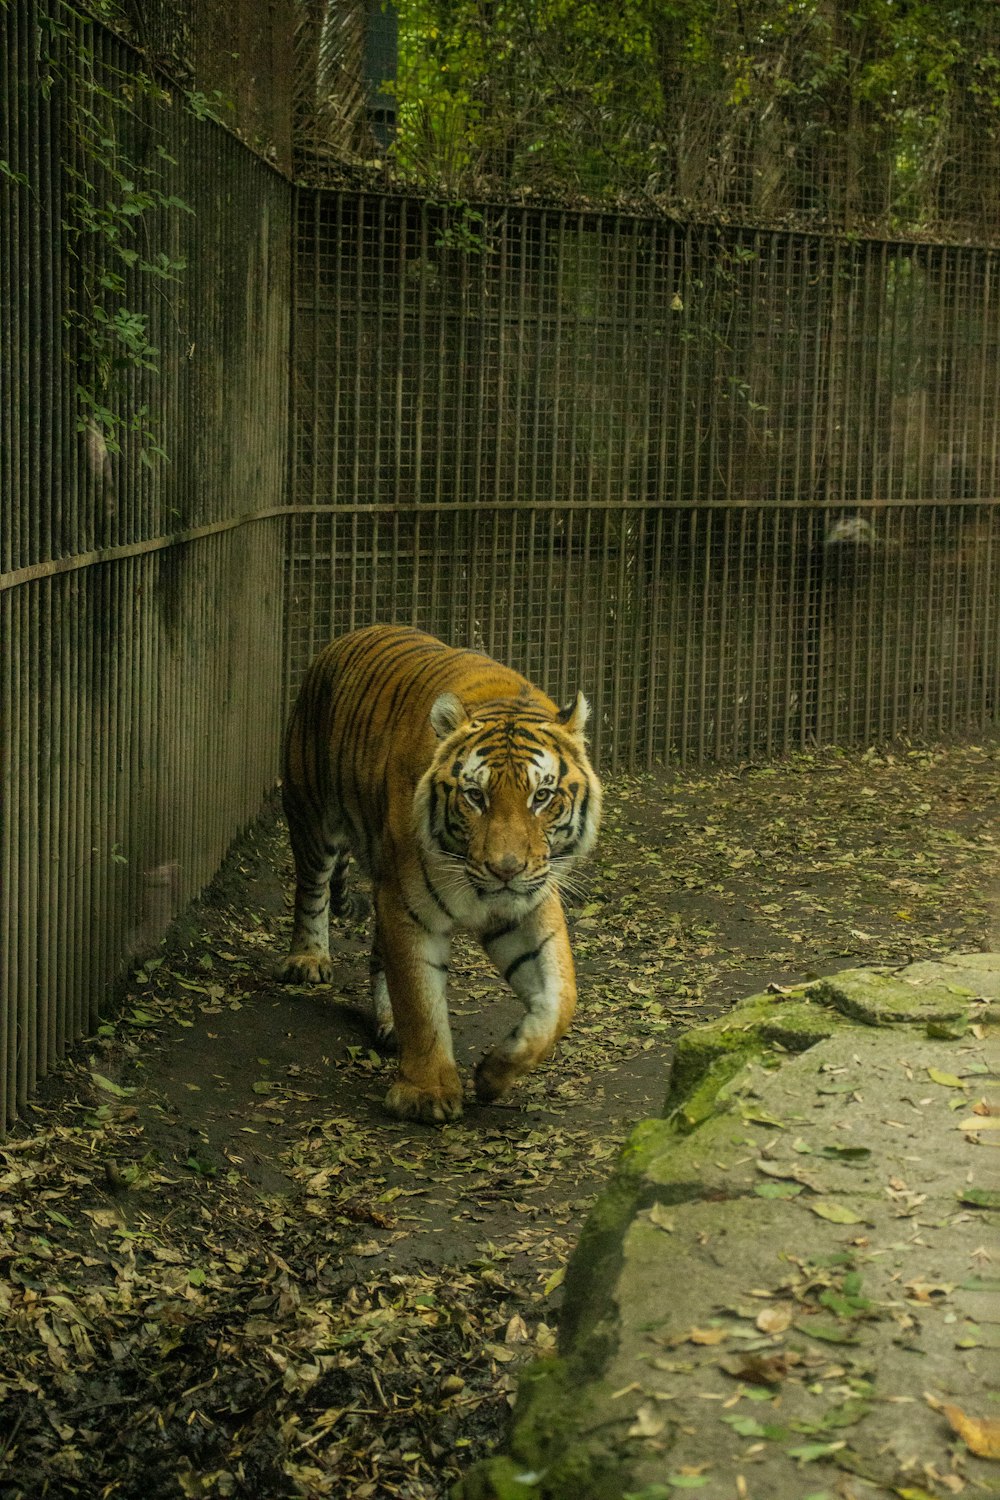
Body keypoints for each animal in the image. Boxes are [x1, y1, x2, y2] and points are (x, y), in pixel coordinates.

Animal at [277, 621, 602, 1128]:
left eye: (542, 797)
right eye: (475, 796)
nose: (505, 869)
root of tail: (348, 634)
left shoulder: (528, 904)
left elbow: (560, 1001)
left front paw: (495, 1074)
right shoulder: (409, 907)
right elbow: (420, 1000)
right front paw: (426, 1093)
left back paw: (388, 1024)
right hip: (312, 813)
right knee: (311, 889)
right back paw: (307, 960)